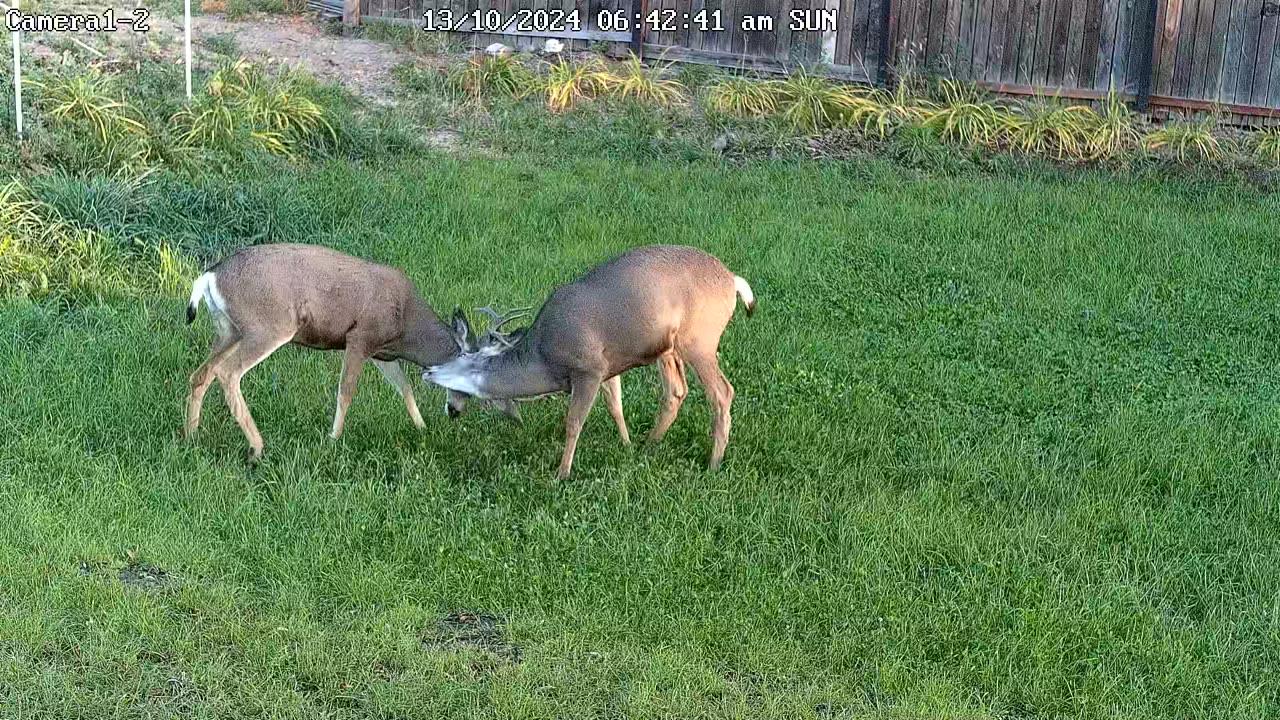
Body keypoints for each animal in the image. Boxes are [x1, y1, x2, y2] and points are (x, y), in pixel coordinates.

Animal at [181, 242, 519, 458]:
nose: (454, 412)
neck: (406, 326)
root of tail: (209, 275)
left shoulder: (382, 352)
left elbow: (404, 387)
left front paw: (422, 428)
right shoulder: (360, 337)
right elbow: (346, 391)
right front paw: (333, 439)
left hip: (227, 330)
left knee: (201, 373)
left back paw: (192, 436)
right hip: (268, 326)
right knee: (228, 372)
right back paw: (257, 448)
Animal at [424, 243, 752, 479]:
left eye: (461, 362)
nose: (428, 372)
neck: (545, 358)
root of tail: (733, 281)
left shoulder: (588, 368)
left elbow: (573, 422)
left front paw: (562, 473)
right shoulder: (609, 366)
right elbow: (616, 405)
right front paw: (626, 445)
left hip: (700, 340)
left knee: (722, 392)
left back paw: (713, 463)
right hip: (667, 348)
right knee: (675, 391)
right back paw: (648, 446)